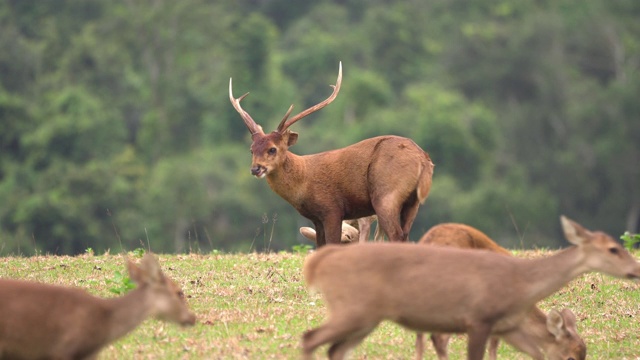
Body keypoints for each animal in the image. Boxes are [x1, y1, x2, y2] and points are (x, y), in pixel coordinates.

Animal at [228, 63, 432, 246]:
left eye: (272, 148)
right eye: (251, 149)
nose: (256, 169)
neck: (304, 182)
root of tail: (424, 159)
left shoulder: (331, 209)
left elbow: (332, 243)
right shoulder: (316, 218)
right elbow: (320, 246)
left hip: (386, 195)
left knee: (396, 235)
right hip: (412, 202)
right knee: (405, 235)